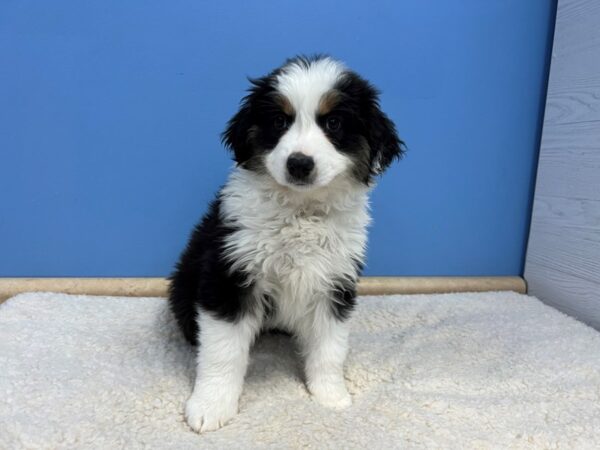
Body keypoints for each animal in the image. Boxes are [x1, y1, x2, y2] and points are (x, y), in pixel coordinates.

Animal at [168, 56, 404, 432]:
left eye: (334, 122)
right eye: (280, 121)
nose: (299, 163)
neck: (300, 211)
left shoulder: (334, 281)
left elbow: (329, 347)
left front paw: (330, 395)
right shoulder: (229, 275)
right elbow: (223, 351)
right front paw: (210, 406)